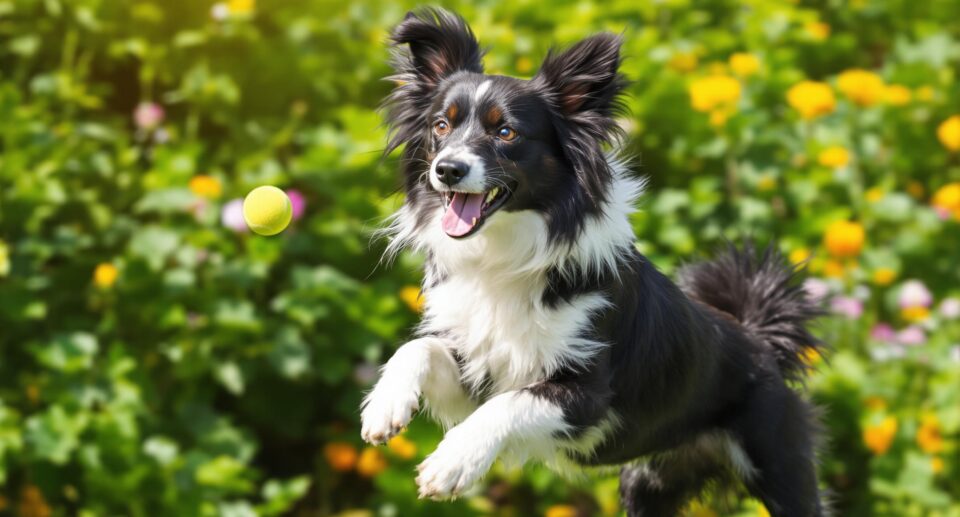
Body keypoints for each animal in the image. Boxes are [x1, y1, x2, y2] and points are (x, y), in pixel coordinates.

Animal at [360, 9, 824, 516]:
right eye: (441, 126)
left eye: (506, 133)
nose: (446, 169)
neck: (504, 254)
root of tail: (762, 340)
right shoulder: (475, 376)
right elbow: (419, 348)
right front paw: (384, 406)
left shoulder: (588, 396)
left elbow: (508, 405)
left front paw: (451, 464)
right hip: (648, 483)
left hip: (779, 459)